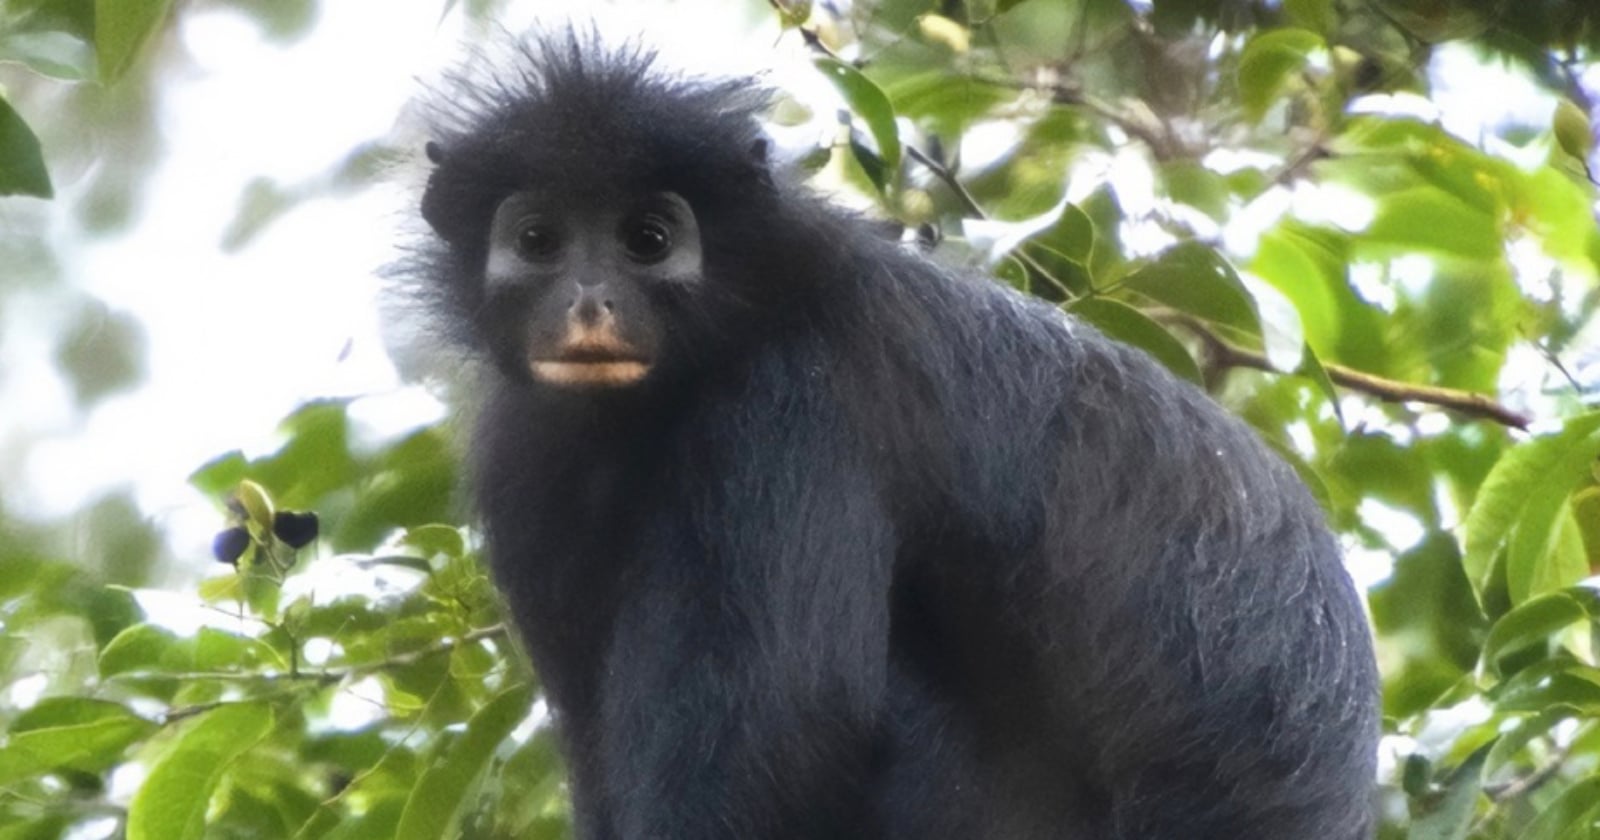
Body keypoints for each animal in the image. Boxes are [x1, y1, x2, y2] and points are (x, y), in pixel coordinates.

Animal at [403, 33, 1380, 840]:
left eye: (647, 239)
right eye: (539, 239)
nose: (589, 302)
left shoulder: (790, 405)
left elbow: (788, 728)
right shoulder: (527, 456)